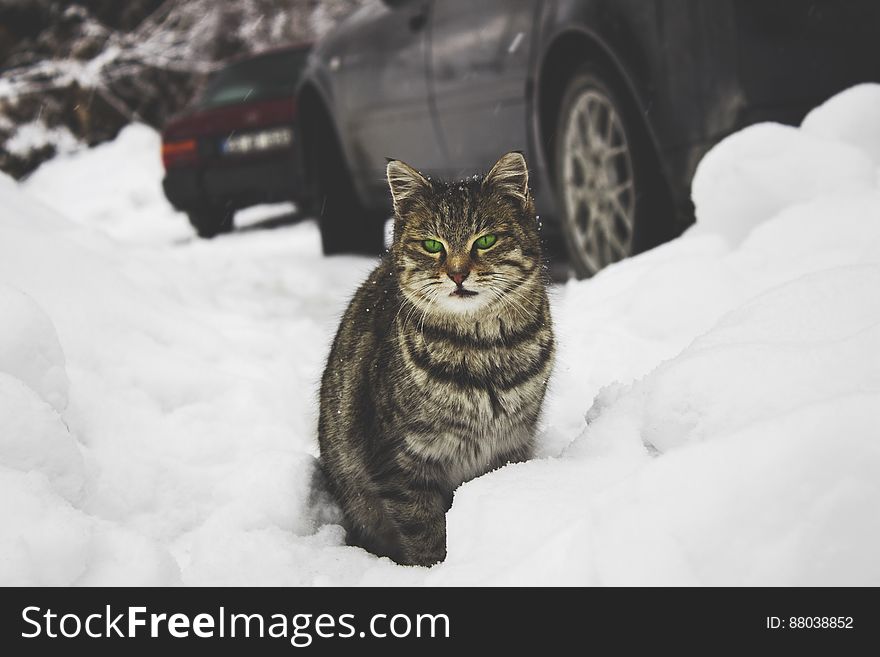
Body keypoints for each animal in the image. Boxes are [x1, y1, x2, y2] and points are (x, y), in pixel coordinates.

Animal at [316, 152, 552, 564]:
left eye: (485, 240)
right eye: (431, 245)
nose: (457, 274)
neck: (484, 349)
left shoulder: (512, 443)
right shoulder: (400, 463)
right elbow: (424, 533)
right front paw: (436, 569)